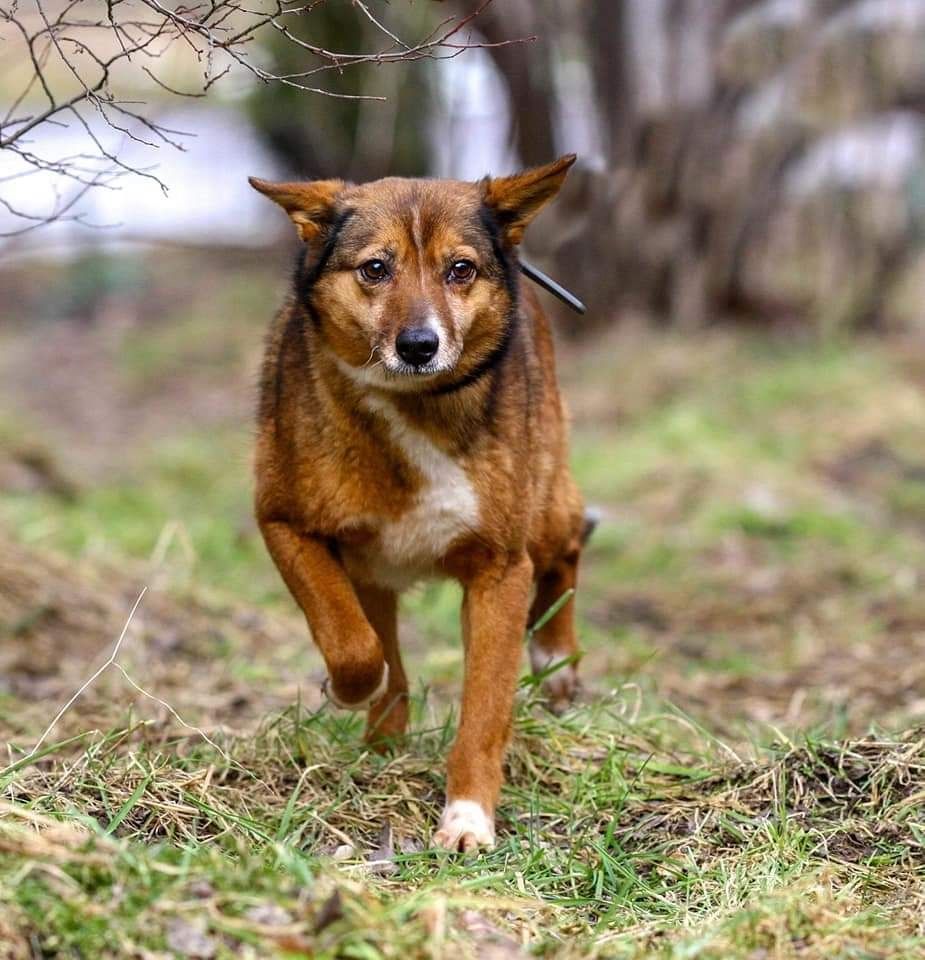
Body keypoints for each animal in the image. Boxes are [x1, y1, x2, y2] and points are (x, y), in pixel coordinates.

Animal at [249, 158, 588, 856]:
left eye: (460, 269)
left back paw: (556, 662)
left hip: (545, 507)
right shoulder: (285, 525)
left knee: (570, 543)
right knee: (379, 640)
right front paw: (361, 692)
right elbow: (354, 646)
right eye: (375, 268)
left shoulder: (500, 571)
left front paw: (468, 819)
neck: (412, 404)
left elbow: (484, 709)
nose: (418, 345)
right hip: (371, 572)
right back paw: (383, 736)